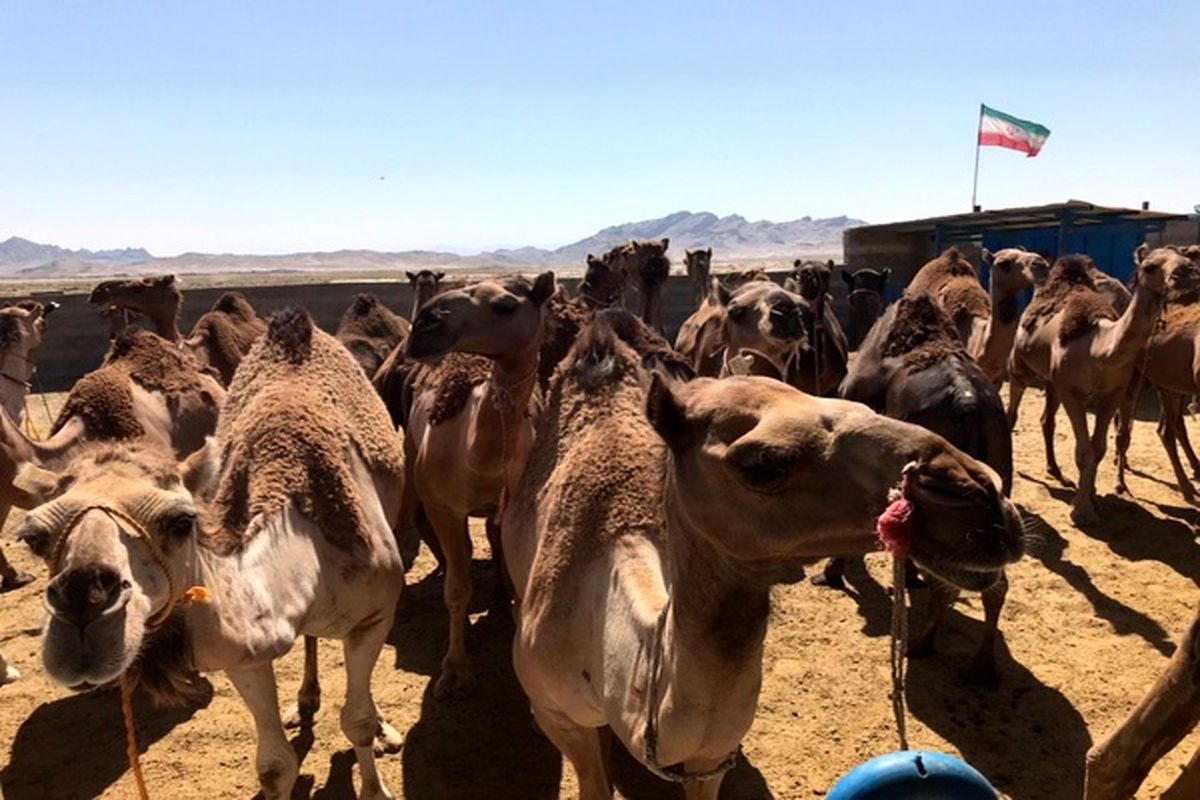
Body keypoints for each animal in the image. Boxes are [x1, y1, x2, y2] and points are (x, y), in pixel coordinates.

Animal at [12, 309, 408, 800]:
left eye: (182, 522)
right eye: (34, 538)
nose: (83, 609)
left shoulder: (376, 614)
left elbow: (357, 721)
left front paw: (375, 777)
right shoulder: (243, 655)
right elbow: (274, 766)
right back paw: (305, 699)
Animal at [504, 311, 1022, 800]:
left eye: (860, 406)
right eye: (763, 464)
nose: (982, 494)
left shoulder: (713, 750)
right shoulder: (559, 714)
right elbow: (592, 777)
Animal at [1008, 248, 1195, 525]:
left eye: (1182, 257)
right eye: (1150, 267)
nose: (1187, 272)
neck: (1098, 349)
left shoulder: (1113, 393)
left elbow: (1098, 449)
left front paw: (1093, 498)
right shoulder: (1072, 391)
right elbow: (1083, 451)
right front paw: (1082, 510)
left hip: (1052, 380)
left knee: (1046, 420)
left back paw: (1055, 470)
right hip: (1020, 366)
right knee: (1013, 407)